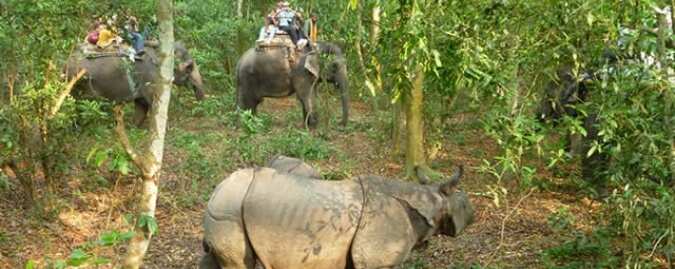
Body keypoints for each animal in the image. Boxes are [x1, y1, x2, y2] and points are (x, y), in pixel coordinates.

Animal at [64, 41, 205, 125]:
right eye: (189, 68)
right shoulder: (152, 80)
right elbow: (153, 104)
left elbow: (141, 107)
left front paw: (134, 128)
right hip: (84, 85)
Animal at [199, 164, 476, 266]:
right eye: (464, 204)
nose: (474, 214)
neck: (430, 199)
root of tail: (217, 191)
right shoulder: (378, 258)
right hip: (228, 213)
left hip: (227, 210)